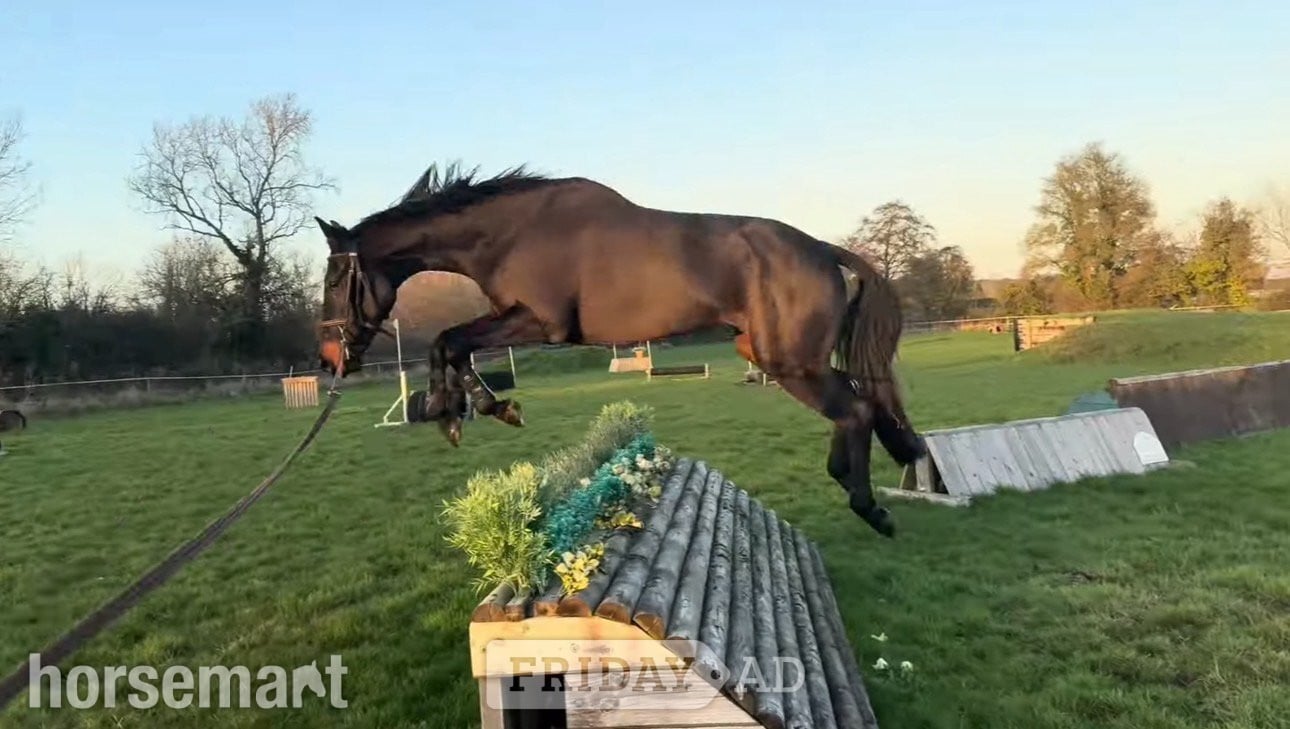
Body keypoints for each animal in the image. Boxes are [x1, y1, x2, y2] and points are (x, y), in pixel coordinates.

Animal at [313, 164, 926, 537]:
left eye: (335, 279)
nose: (330, 359)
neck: (511, 233)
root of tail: (822, 247)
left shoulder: (540, 322)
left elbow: (449, 341)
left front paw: (459, 411)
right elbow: (453, 346)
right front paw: (477, 407)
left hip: (791, 362)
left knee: (856, 411)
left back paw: (870, 508)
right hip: (782, 357)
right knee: (861, 407)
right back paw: (850, 479)